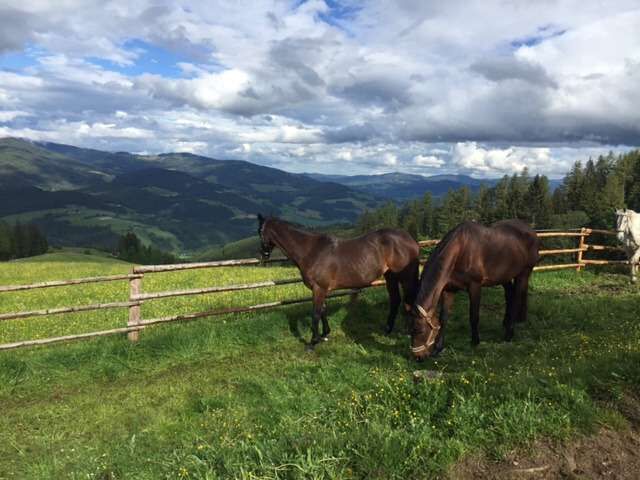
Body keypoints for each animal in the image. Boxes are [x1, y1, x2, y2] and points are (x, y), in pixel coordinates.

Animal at [258, 216, 422, 346]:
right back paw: (387, 329)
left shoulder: (318, 288)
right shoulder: (321, 289)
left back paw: (409, 332)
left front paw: (313, 342)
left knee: (409, 300)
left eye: (260, 231)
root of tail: (409, 239)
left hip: (406, 277)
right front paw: (324, 335)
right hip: (390, 276)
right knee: (395, 300)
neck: (310, 251)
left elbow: (316, 314)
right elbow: (323, 310)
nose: (263, 255)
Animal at [408, 220, 536, 360]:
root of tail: (529, 229)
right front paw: (438, 348)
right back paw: (506, 323)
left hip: (523, 273)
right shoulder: (449, 289)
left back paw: (509, 333)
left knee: (517, 297)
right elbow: (444, 318)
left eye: (419, 330)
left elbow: (474, 316)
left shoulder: (475, 286)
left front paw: (475, 341)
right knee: (510, 295)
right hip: (504, 277)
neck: (460, 249)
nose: (418, 357)